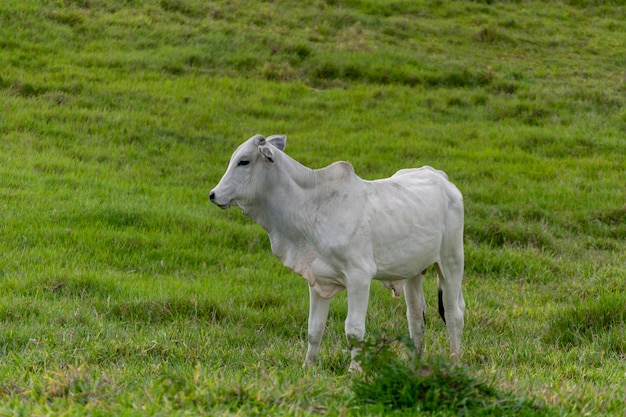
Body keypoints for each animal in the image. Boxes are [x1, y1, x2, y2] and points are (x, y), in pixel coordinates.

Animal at [210, 134, 464, 370]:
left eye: (244, 161)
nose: (213, 194)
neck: (311, 208)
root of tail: (439, 176)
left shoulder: (359, 276)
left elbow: (354, 329)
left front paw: (354, 370)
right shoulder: (315, 279)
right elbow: (314, 328)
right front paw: (308, 366)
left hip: (451, 262)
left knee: (454, 314)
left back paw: (454, 361)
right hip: (413, 271)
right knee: (416, 317)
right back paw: (413, 364)